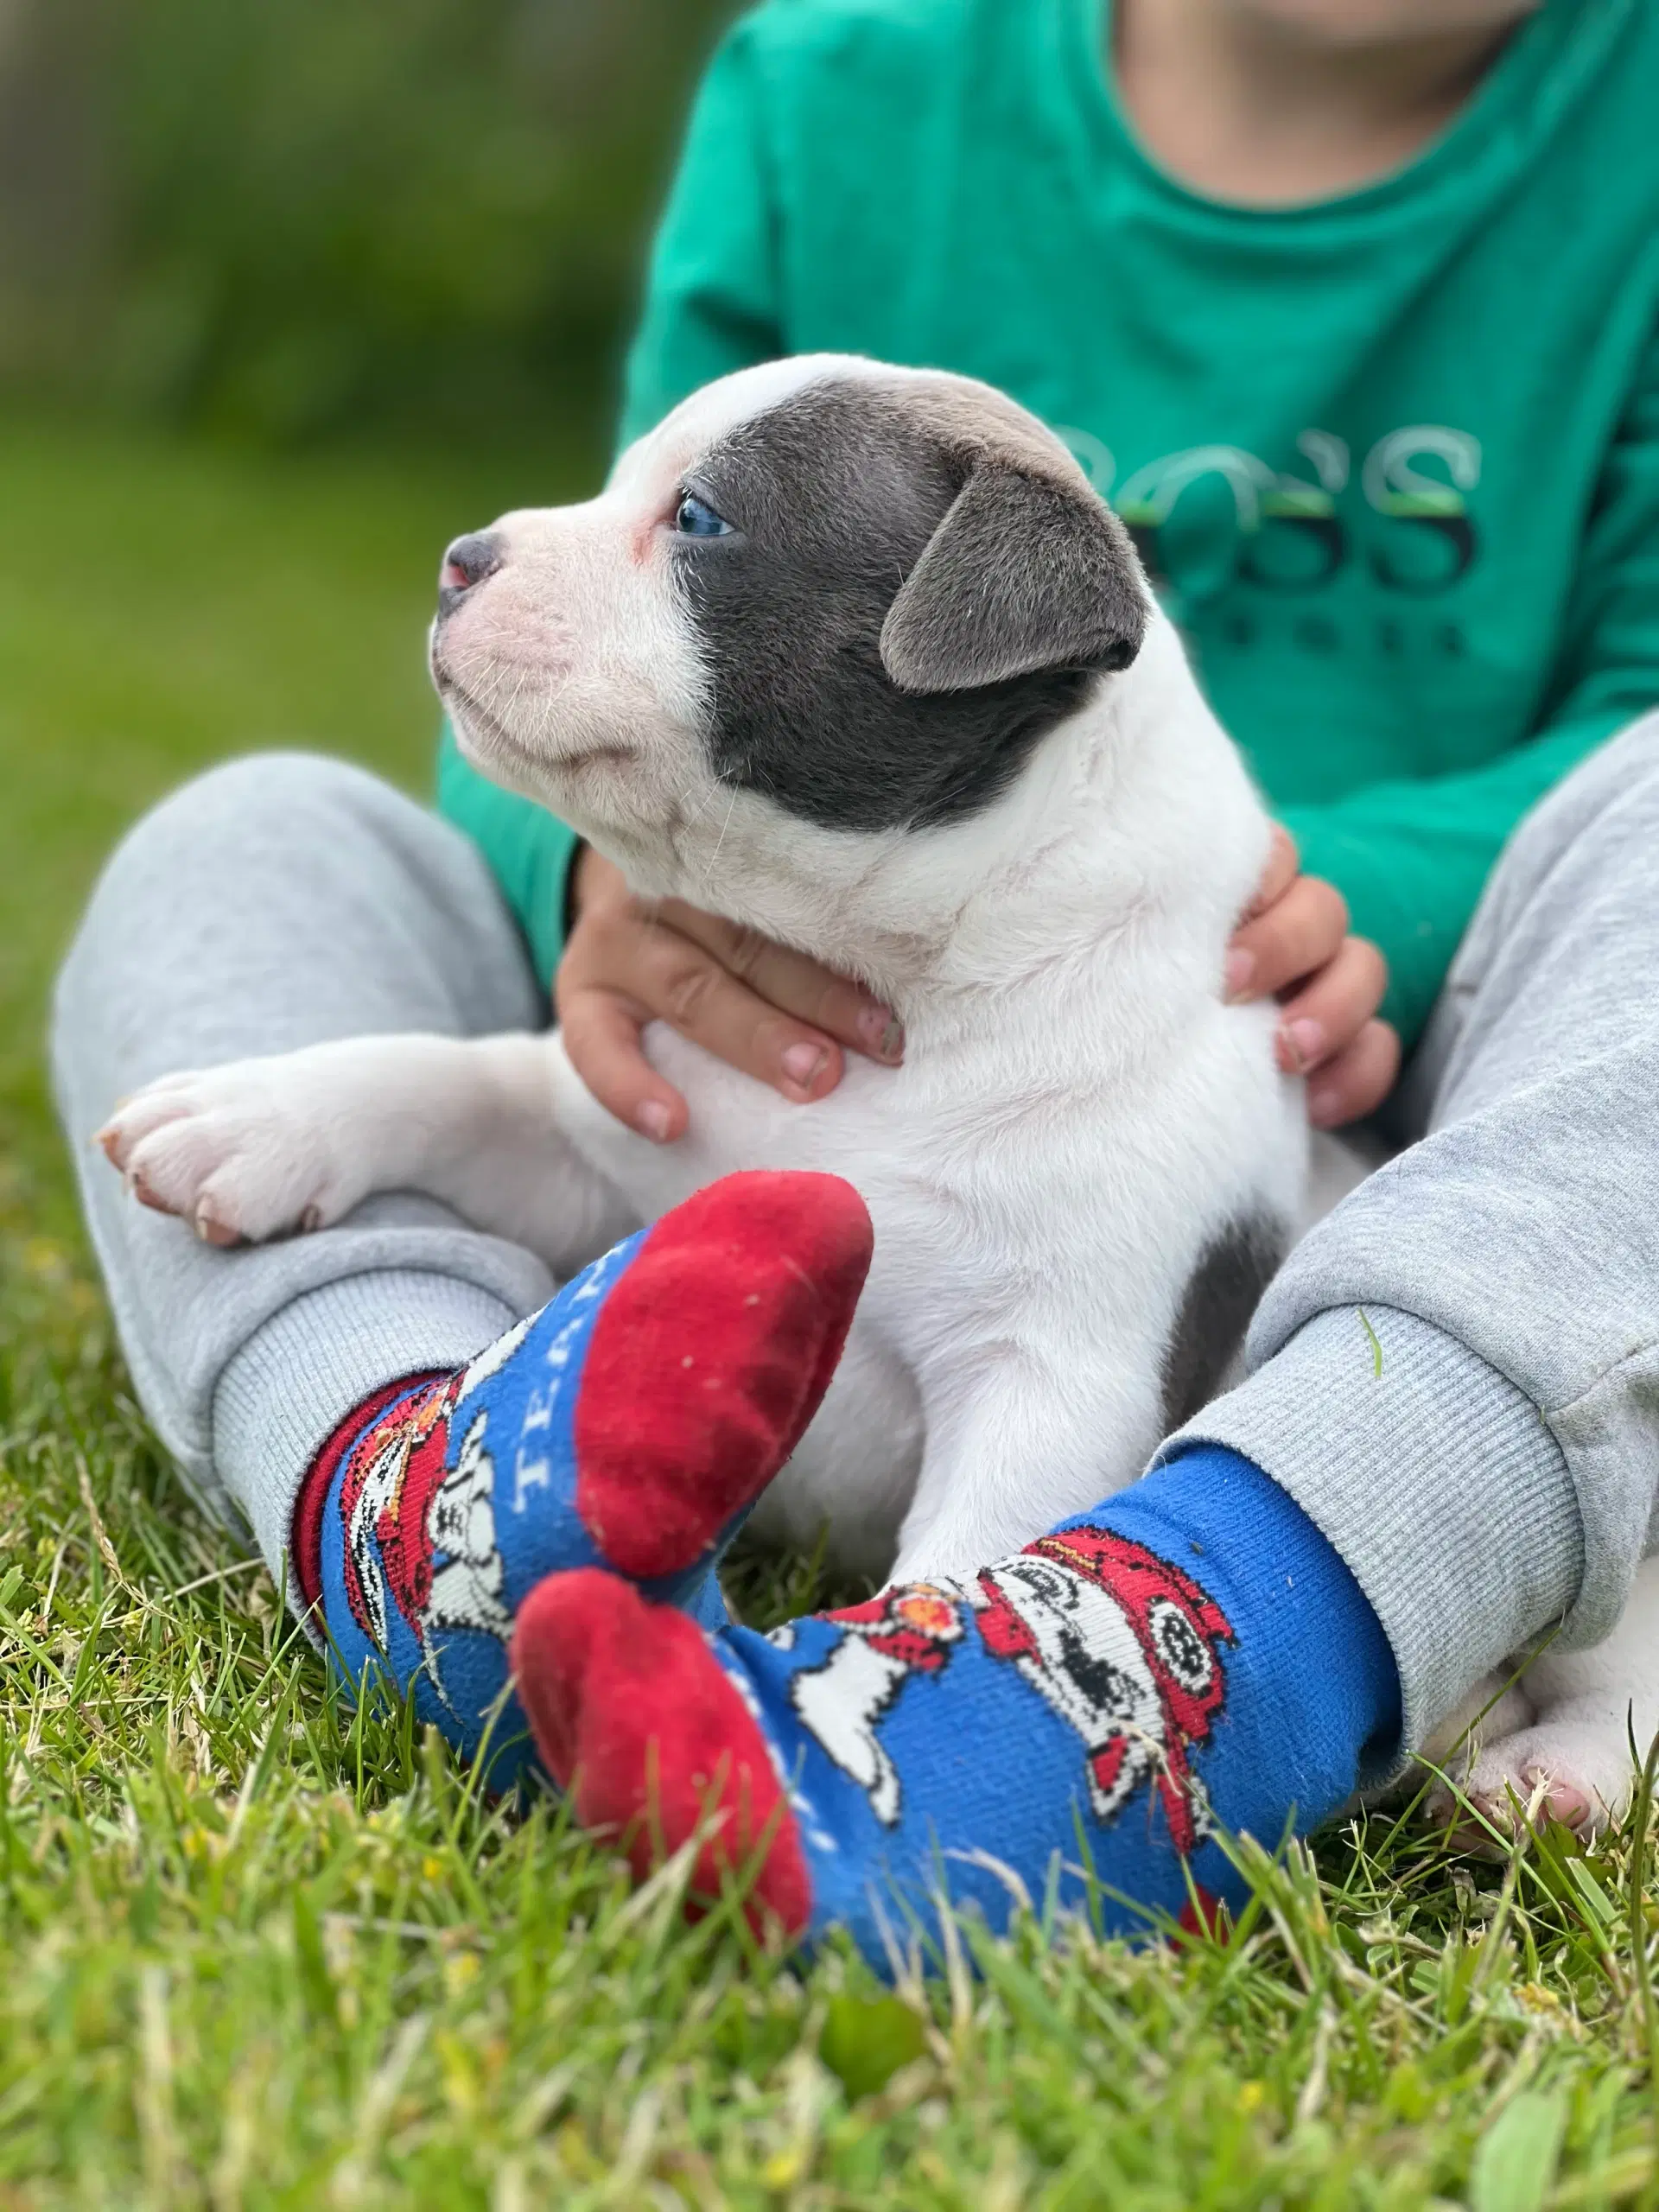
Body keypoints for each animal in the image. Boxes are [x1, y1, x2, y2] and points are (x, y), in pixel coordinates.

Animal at [100, 358, 1659, 1831]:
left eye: (701, 521)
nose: (462, 557)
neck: (905, 981)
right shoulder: (613, 1140)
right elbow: (451, 1075)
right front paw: (245, 1118)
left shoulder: (1055, 1374)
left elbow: (973, 1559)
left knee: (1620, 1661)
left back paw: (1551, 1782)